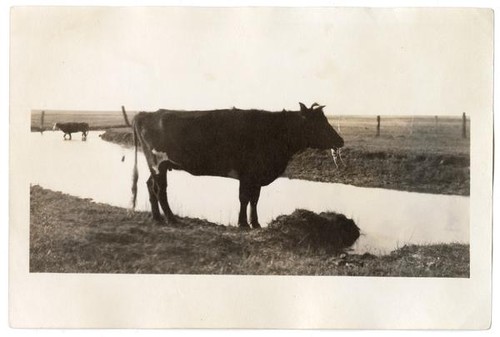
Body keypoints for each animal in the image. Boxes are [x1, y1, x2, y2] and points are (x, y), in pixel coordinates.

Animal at [131, 102, 346, 228]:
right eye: (318, 123)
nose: (340, 141)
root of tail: (146, 114)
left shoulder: (257, 176)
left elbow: (254, 199)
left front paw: (255, 223)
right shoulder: (247, 174)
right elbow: (244, 198)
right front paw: (243, 223)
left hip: (158, 165)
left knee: (150, 185)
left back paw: (157, 218)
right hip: (158, 163)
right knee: (160, 189)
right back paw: (171, 218)